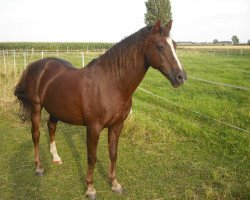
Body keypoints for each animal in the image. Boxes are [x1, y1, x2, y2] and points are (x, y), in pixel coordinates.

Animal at [13, 19, 186, 198]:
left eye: (174, 44)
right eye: (160, 46)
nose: (181, 77)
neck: (112, 84)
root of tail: (34, 65)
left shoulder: (117, 126)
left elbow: (113, 153)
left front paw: (115, 183)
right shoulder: (93, 128)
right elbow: (92, 157)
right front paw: (90, 188)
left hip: (56, 108)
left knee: (51, 127)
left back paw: (55, 157)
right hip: (36, 108)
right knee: (36, 135)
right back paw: (39, 167)